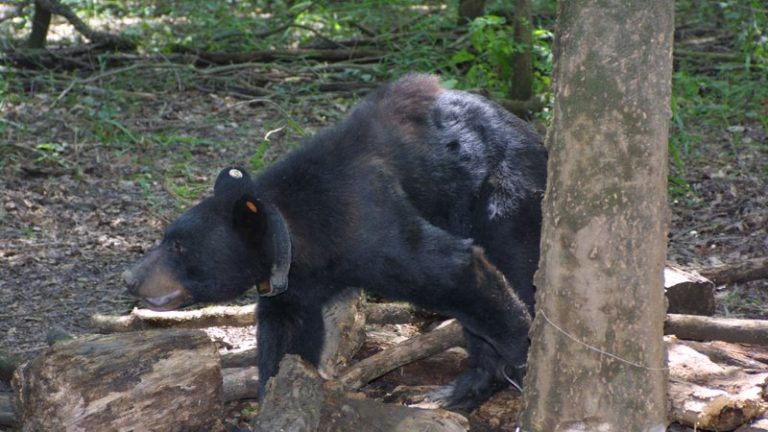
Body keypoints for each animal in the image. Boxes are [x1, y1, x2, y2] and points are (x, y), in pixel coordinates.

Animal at [122, 74, 547, 409]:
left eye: (179, 246)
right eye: (166, 238)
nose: (131, 278)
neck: (304, 238)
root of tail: (534, 131)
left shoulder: (369, 224)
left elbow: (453, 268)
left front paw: (525, 346)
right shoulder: (296, 285)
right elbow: (288, 339)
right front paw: (274, 396)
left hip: (506, 189)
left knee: (514, 259)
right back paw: (458, 391)